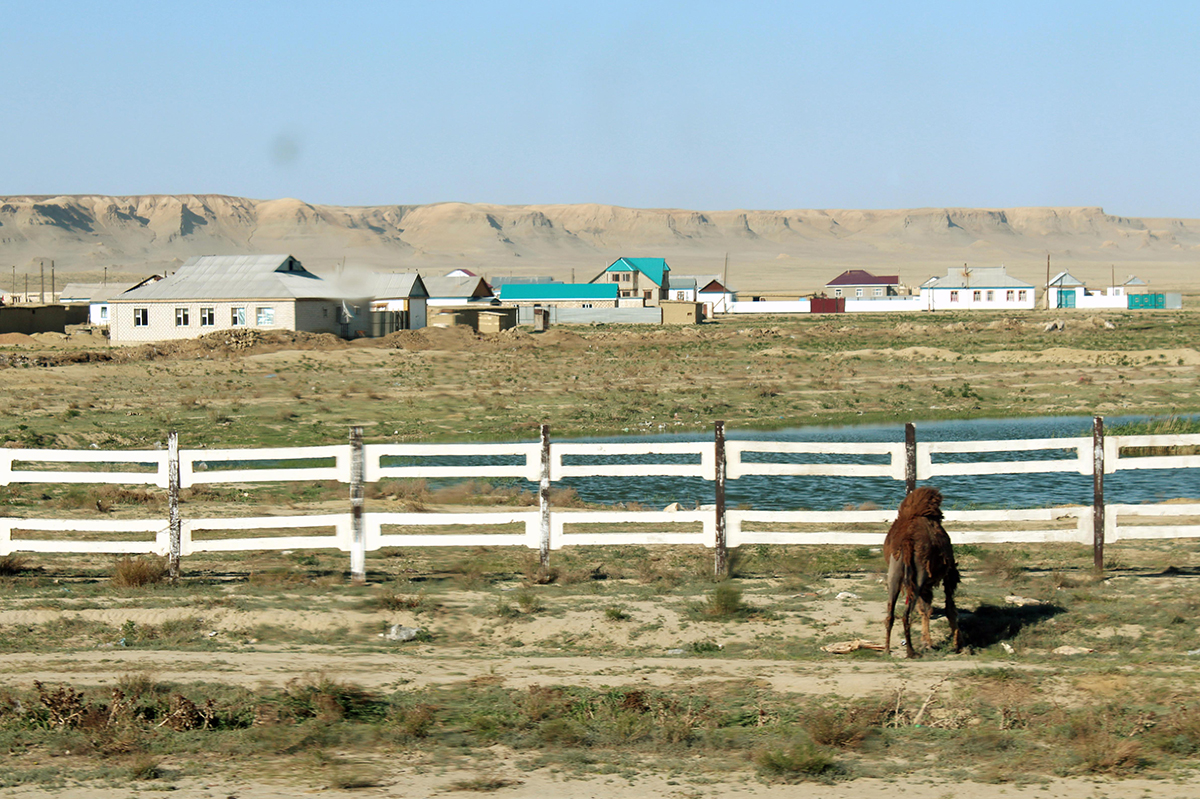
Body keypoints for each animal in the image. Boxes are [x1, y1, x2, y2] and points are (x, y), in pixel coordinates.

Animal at [888, 482, 960, 657]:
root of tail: (907, 541)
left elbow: (925, 610)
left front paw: (927, 643)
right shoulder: (948, 573)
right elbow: (949, 608)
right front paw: (957, 644)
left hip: (895, 574)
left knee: (890, 612)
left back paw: (887, 649)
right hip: (919, 576)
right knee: (907, 615)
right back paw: (911, 652)